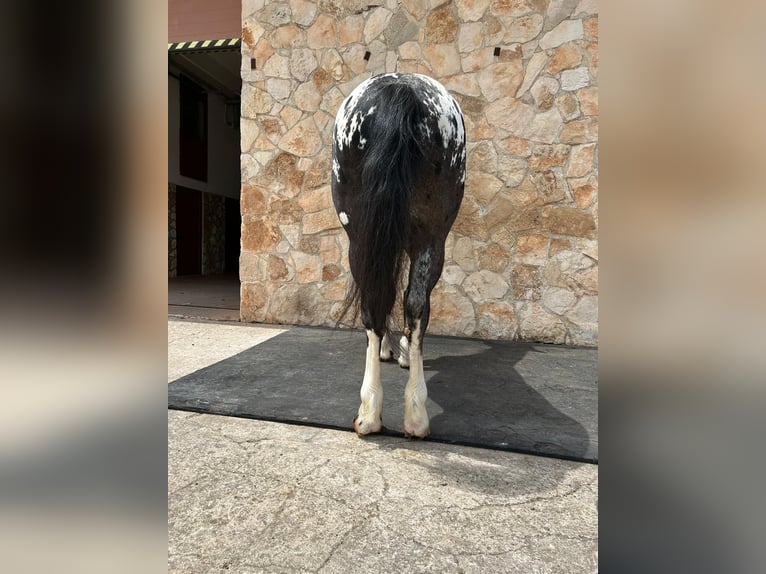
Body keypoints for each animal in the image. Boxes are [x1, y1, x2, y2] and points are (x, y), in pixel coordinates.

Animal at [332, 73, 468, 440]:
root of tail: (401, 89)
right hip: (430, 239)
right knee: (414, 303)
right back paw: (414, 415)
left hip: (363, 239)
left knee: (379, 302)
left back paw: (371, 412)